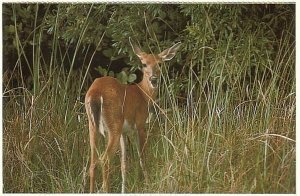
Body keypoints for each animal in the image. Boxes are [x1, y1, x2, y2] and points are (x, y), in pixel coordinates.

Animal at [85, 38, 180, 193]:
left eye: (160, 63)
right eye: (144, 64)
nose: (154, 79)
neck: (144, 94)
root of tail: (95, 93)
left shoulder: (125, 132)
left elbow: (124, 164)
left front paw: (124, 190)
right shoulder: (140, 124)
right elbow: (142, 158)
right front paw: (148, 184)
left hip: (93, 126)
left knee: (93, 163)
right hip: (114, 124)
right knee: (105, 160)